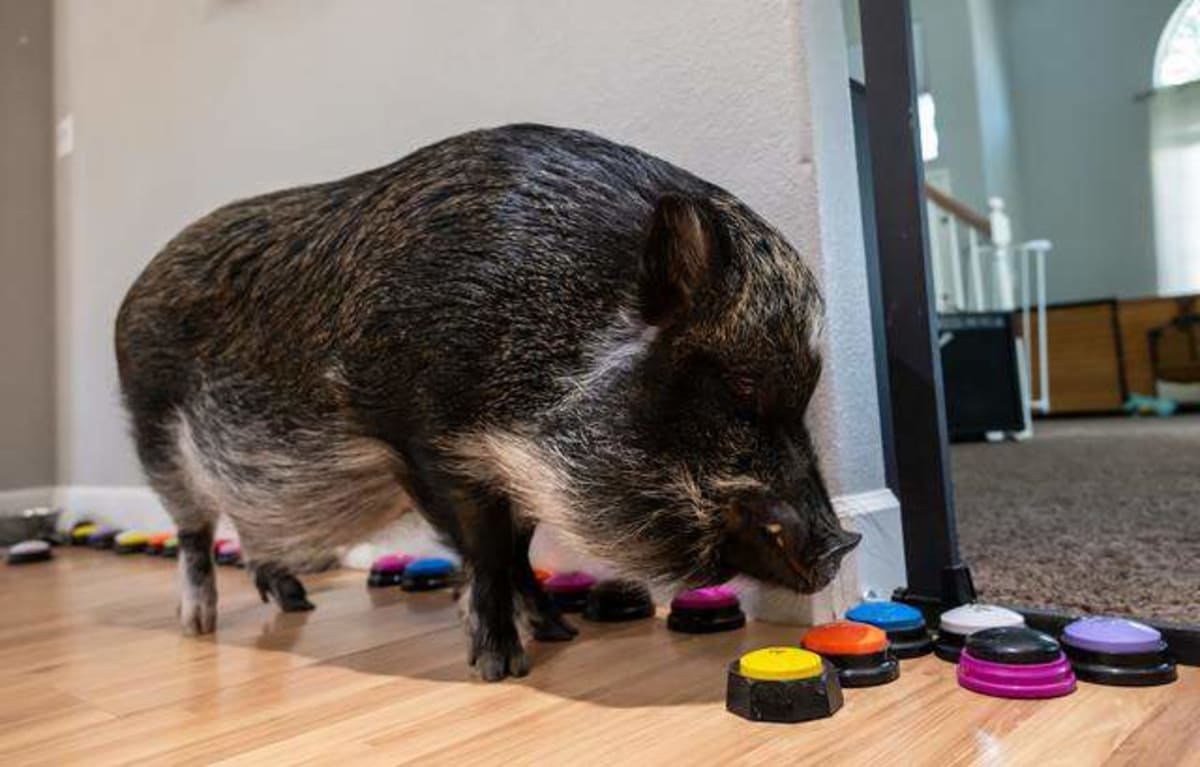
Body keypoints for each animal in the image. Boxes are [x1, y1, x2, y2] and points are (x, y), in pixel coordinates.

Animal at [115, 124, 861, 681]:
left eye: (800, 396)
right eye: (740, 388)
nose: (844, 540)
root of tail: (135, 287)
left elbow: (520, 553)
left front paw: (558, 633)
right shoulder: (427, 442)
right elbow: (490, 551)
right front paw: (502, 667)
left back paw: (297, 606)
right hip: (155, 438)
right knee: (194, 531)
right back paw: (198, 626)